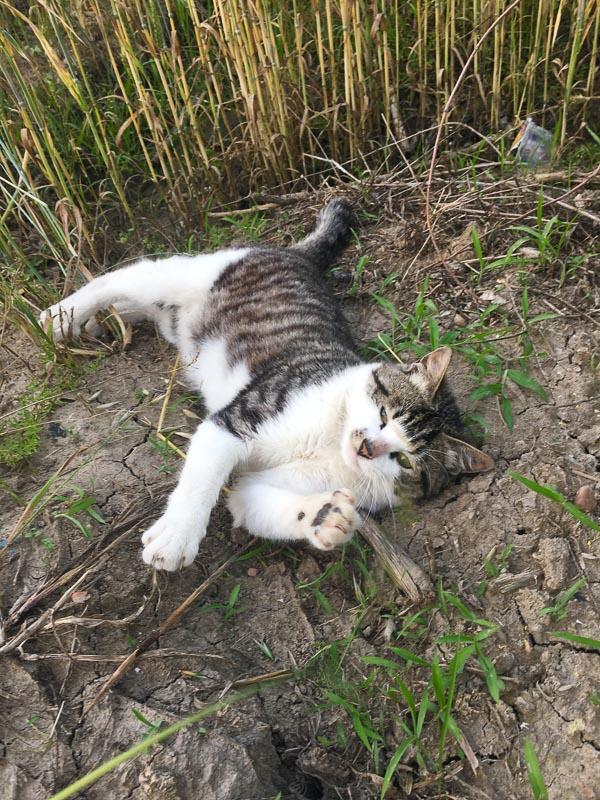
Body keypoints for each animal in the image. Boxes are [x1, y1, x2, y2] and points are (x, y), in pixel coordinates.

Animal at [39, 202, 494, 576]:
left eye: (405, 460)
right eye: (384, 415)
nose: (367, 448)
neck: (330, 440)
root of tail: (297, 255)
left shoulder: (282, 482)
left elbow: (249, 500)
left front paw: (323, 518)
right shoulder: (240, 416)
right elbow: (202, 479)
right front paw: (176, 536)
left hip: (173, 318)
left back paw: (102, 322)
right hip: (188, 274)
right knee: (121, 278)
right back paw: (62, 317)